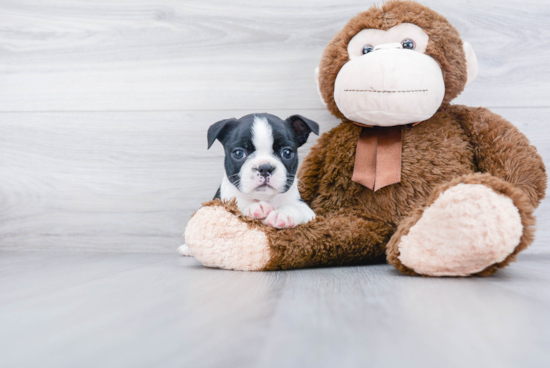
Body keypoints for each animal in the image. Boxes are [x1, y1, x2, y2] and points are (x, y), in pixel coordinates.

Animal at [179, 113, 322, 258]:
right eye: (238, 153)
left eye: (287, 153)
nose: (265, 167)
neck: (264, 197)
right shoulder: (223, 203)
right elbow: (237, 206)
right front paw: (255, 207)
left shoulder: (309, 213)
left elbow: (295, 208)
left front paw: (282, 214)